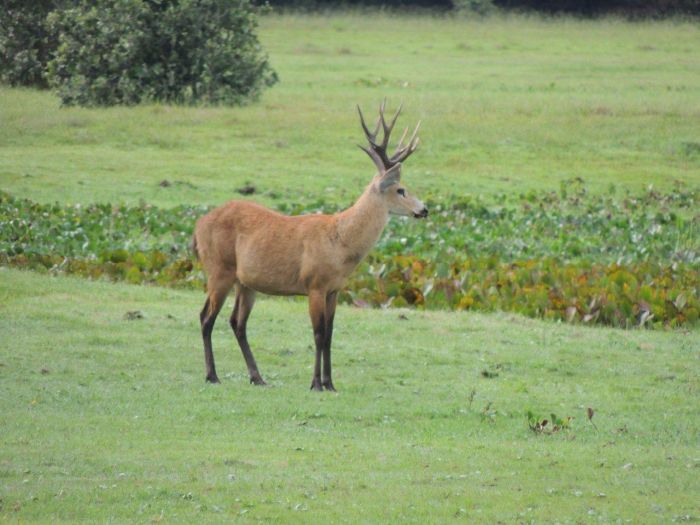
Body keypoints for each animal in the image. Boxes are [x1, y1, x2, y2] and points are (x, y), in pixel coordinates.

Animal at [194, 101, 430, 388]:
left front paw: (330, 383)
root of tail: (198, 225)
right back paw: (212, 375)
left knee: (237, 322)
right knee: (207, 317)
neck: (340, 243)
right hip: (219, 269)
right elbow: (318, 333)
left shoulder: (334, 290)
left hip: (245, 282)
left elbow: (329, 334)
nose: (424, 209)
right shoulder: (314, 284)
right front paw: (316, 383)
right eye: (401, 190)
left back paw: (257, 377)